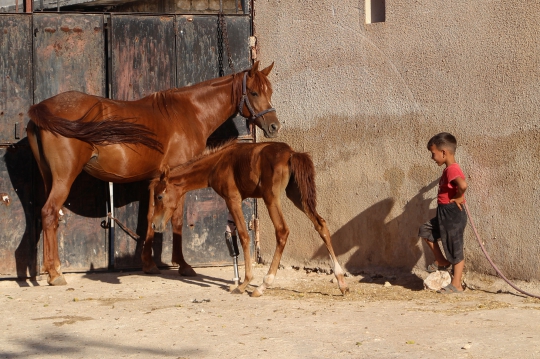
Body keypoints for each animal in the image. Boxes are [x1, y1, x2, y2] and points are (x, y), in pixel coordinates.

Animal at [25, 62, 280, 286]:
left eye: (270, 91)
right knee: (49, 213)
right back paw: (55, 274)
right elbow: (176, 219)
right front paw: (183, 265)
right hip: (63, 179)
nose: (274, 126)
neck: (188, 113)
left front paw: (148, 264)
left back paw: (52, 269)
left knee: (48, 217)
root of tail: (42, 108)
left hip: (49, 179)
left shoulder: (155, 181)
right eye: (254, 92)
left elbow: (149, 218)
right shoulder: (177, 180)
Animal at [149, 142, 350, 296]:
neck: (217, 164)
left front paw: (244, 283)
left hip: (271, 198)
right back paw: (341, 282)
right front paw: (235, 281)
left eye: (159, 196)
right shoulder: (233, 201)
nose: (155, 224)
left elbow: (244, 236)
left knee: (282, 231)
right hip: (297, 195)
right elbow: (231, 237)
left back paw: (262, 285)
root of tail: (291, 153)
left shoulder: (233, 199)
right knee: (320, 224)